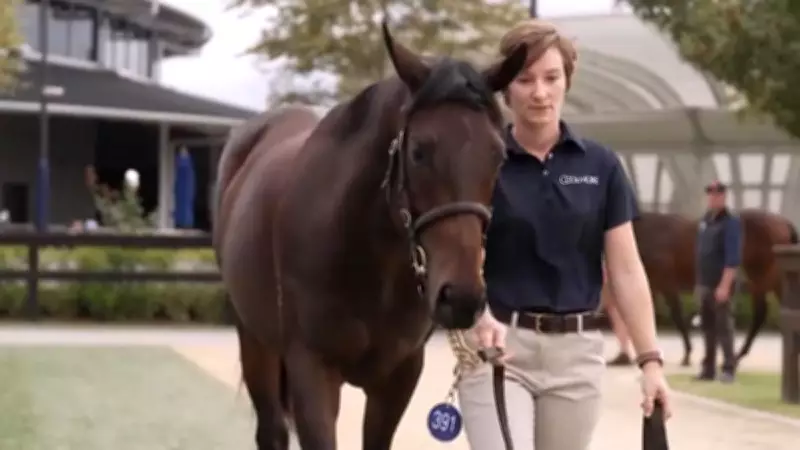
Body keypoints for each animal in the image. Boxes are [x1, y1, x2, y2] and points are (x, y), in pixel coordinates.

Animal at [212, 21, 528, 450]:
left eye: (499, 155)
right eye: (419, 151)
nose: (461, 297)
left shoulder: (399, 376)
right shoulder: (312, 371)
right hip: (254, 340)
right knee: (272, 430)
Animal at [615, 208, 798, 367]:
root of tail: (784, 223)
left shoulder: (666, 282)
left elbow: (676, 315)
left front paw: (687, 355)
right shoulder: (652, 284)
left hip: (762, 276)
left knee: (762, 313)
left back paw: (736, 357)